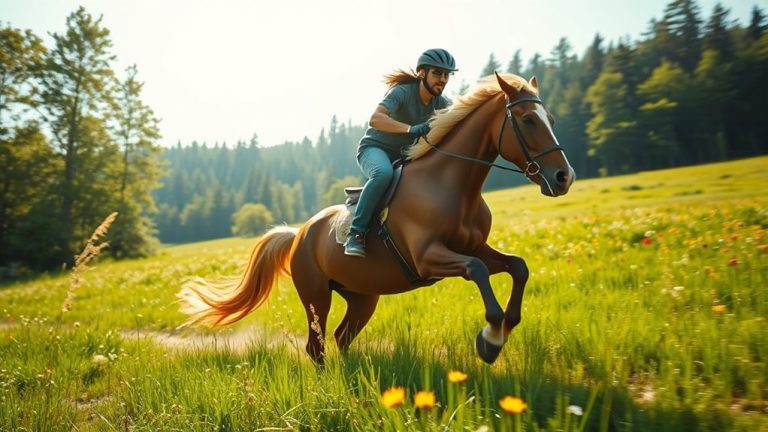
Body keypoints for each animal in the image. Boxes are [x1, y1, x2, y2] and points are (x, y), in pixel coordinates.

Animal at [178, 73, 575, 364]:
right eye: (527, 120)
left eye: (552, 119)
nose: (563, 177)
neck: (450, 185)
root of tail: (299, 234)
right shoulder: (430, 257)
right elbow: (477, 270)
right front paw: (490, 339)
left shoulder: (475, 247)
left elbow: (518, 266)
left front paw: (505, 328)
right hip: (315, 297)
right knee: (316, 346)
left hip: (362, 297)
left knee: (341, 337)